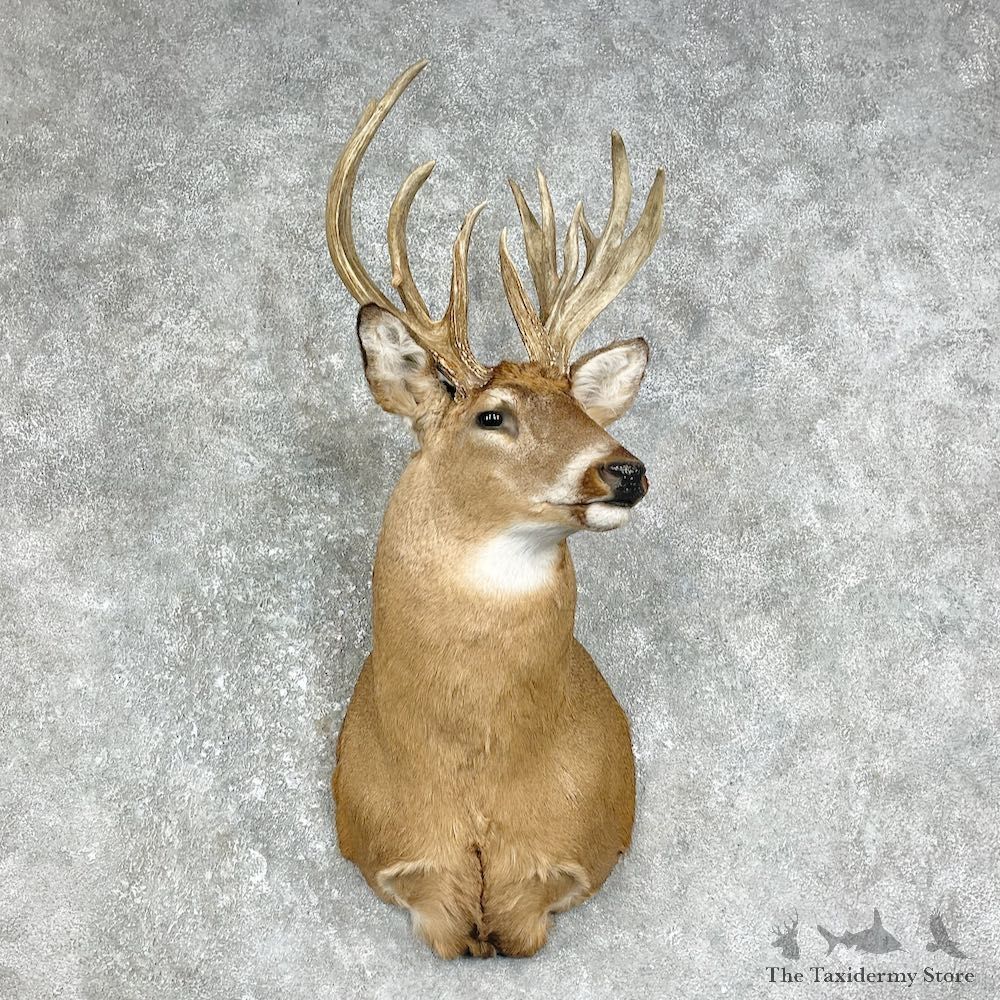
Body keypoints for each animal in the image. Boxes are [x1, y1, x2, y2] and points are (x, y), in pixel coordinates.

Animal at [325, 60, 665, 959]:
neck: (479, 783)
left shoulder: (567, 863)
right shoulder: (397, 866)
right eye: (492, 415)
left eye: (580, 405)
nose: (624, 472)